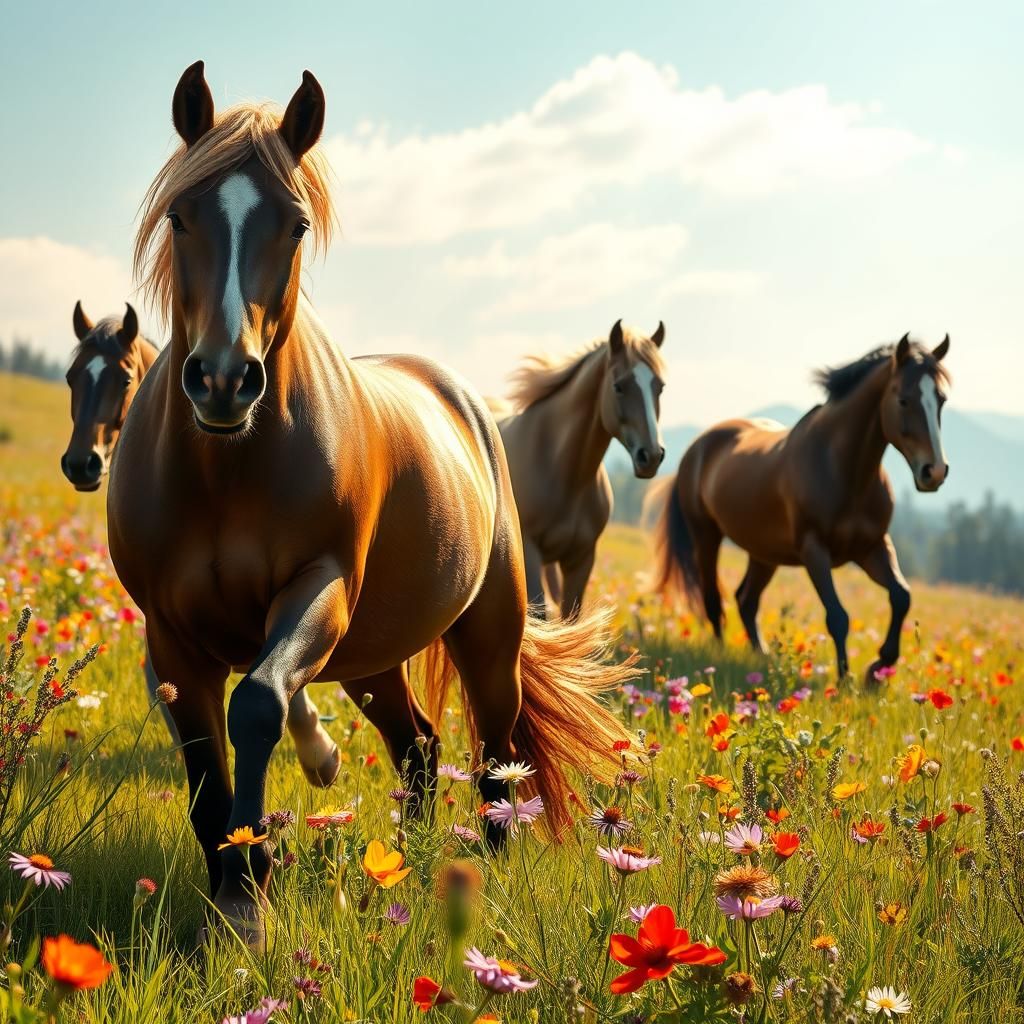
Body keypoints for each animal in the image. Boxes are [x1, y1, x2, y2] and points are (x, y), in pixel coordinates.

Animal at [108, 62, 634, 946]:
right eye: (181, 216)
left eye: (293, 225)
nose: (223, 378)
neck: (226, 467)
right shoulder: (174, 636)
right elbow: (204, 769)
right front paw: (228, 888)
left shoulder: (317, 591)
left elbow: (258, 706)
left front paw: (250, 895)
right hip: (373, 655)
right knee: (418, 747)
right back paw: (410, 861)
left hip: (485, 634)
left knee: (496, 754)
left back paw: (486, 869)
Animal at [651, 335, 950, 684]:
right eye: (903, 400)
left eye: (940, 399)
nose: (934, 472)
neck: (843, 471)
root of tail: (697, 447)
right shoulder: (814, 551)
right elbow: (838, 617)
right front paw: (846, 681)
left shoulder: (872, 548)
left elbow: (901, 596)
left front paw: (877, 670)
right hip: (706, 535)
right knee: (714, 599)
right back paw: (720, 655)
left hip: (763, 553)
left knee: (746, 600)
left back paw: (762, 656)